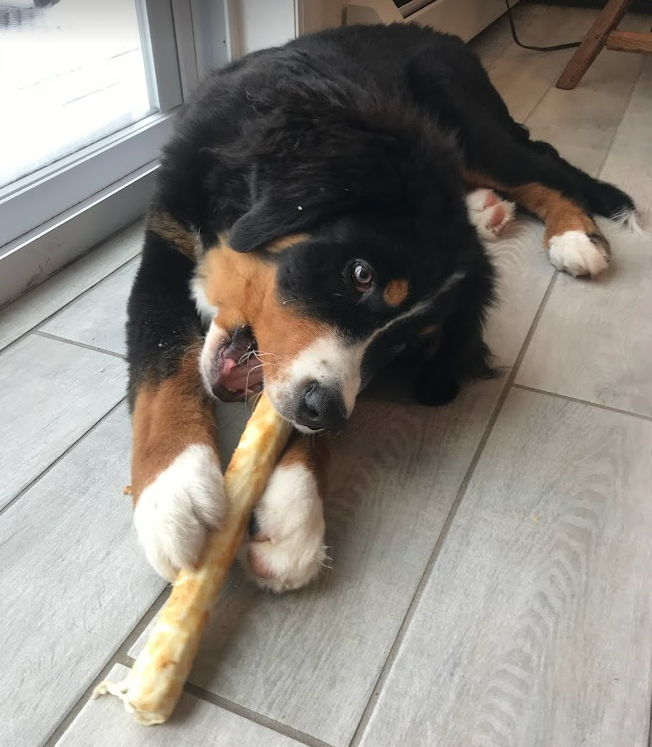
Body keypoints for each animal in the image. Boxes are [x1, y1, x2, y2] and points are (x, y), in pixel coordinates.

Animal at [126, 21, 636, 592]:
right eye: (359, 274)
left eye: (400, 348)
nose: (325, 410)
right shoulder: (165, 243)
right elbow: (162, 362)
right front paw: (177, 495)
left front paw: (294, 512)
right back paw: (490, 211)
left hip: (472, 130)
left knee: (541, 167)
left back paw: (575, 236)